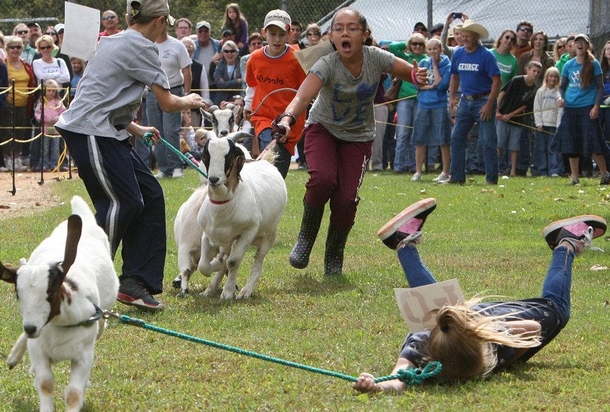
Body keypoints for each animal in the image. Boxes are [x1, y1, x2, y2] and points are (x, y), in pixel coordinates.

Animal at [0, 197, 119, 412]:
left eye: (52, 291)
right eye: (18, 294)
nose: (30, 328)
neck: (62, 323)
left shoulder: (83, 355)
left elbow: (73, 393)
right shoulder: (39, 349)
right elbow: (45, 383)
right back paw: (14, 358)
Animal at [197, 135, 288, 300]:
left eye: (228, 156)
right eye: (206, 155)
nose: (213, 179)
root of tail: (265, 161)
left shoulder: (248, 232)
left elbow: (233, 262)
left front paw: (227, 293)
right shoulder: (207, 235)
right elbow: (203, 266)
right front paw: (217, 265)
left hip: (269, 235)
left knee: (258, 263)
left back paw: (245, 291)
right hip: (229, 241)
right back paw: (210, 289)